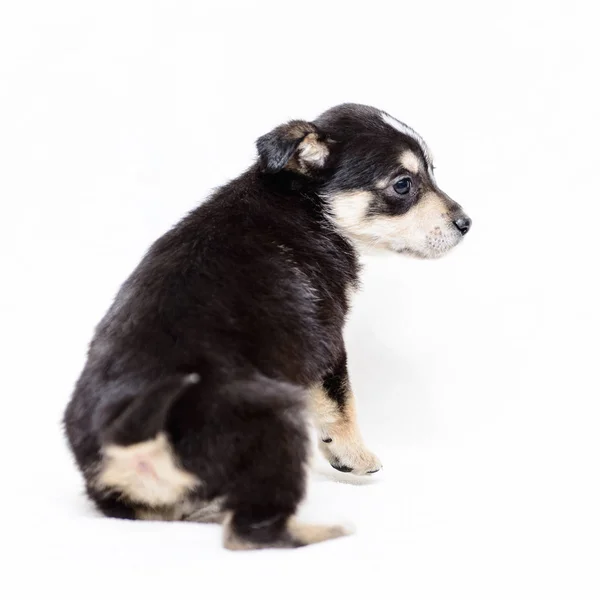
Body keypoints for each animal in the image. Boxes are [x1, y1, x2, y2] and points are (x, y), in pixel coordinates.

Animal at [63, 102, 472, 548]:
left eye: (432, 172)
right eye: (403, 185)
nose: (466, 223)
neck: (306, 205)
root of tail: (131, 442)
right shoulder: (328, 338)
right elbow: (341, 402)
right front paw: (354, 456)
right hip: (278, 420)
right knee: (250, 532)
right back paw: (326, 530)